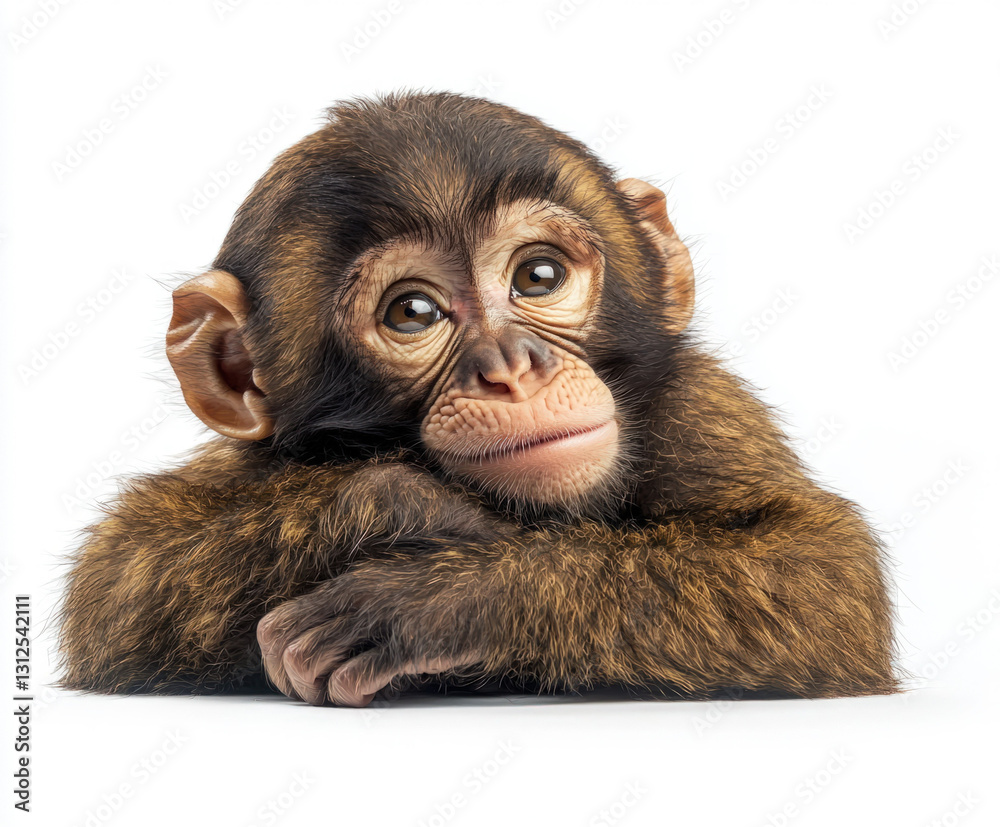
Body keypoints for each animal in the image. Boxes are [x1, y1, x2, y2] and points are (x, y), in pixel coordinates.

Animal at [58, 91, 898, 707]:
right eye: (413, 313)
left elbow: (818, 570)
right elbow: (121, 573)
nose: (512, 368)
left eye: (538, 276)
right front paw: (411, 506)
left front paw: (445, 595)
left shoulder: (701, 410)